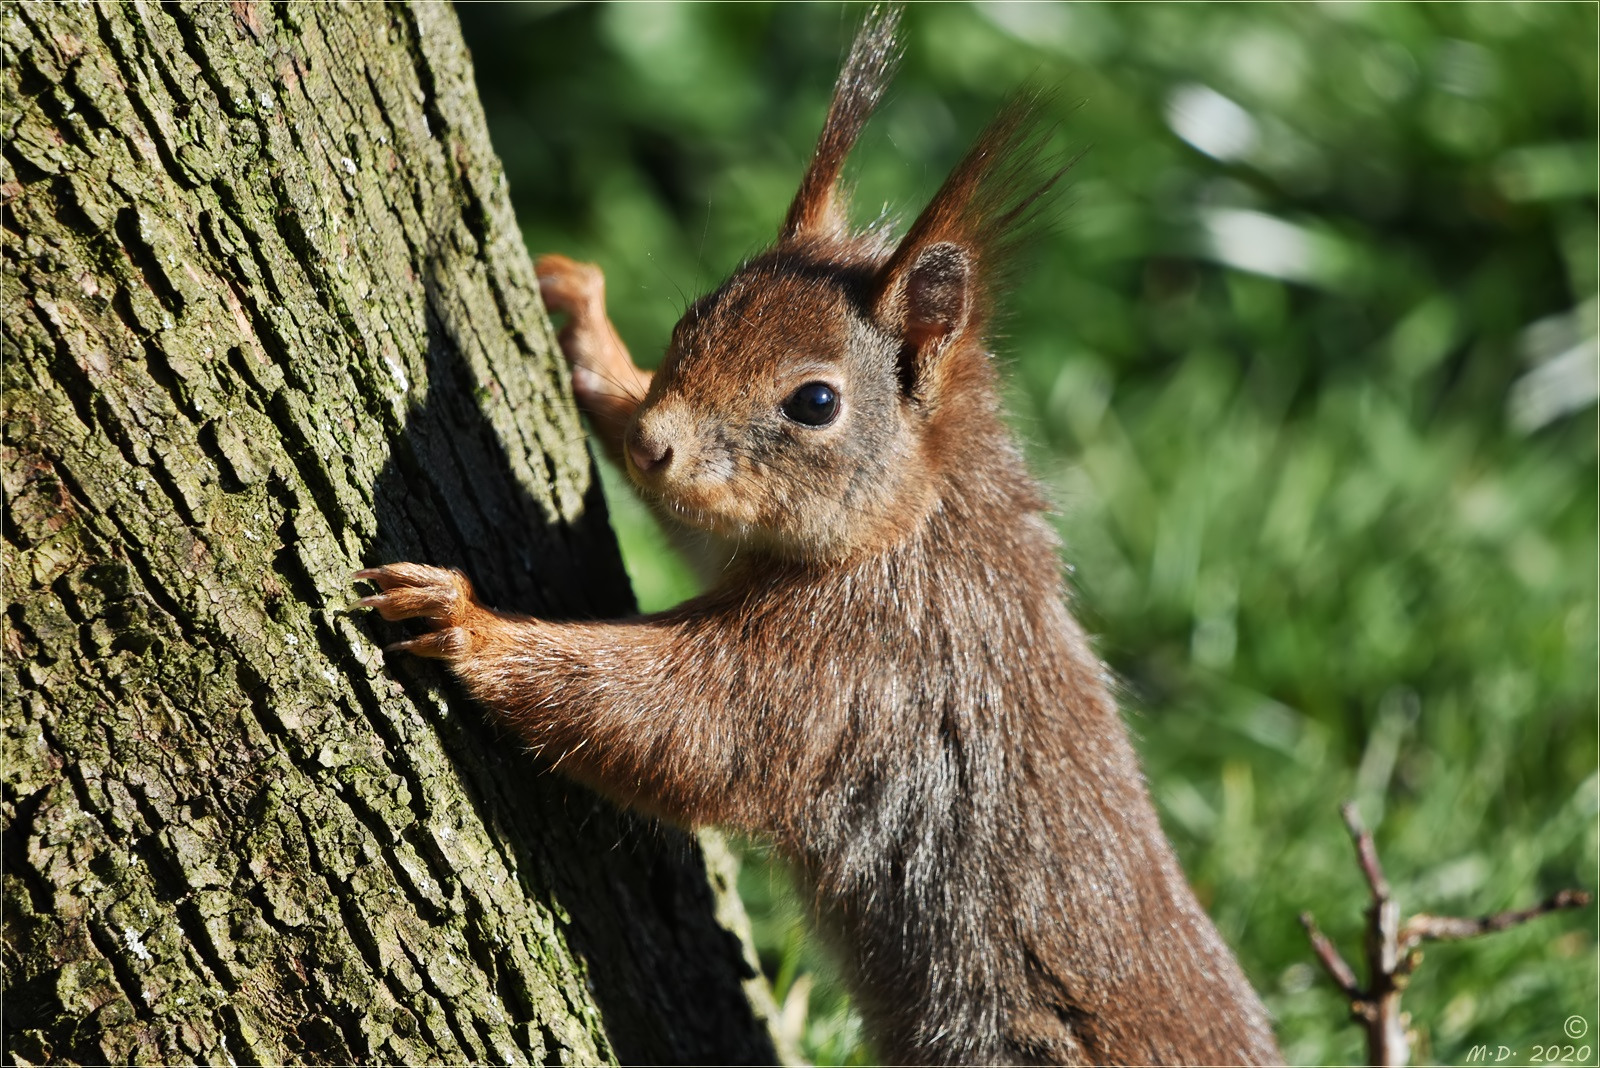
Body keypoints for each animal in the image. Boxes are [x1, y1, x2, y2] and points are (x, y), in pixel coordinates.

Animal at [356, 10, 1280, 1068]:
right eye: (692, 318)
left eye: (816, 402)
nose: (652, 442)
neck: (919, 520)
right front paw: (584, 321)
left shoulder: (865, 660)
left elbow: (687, 729)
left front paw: (465, 620)